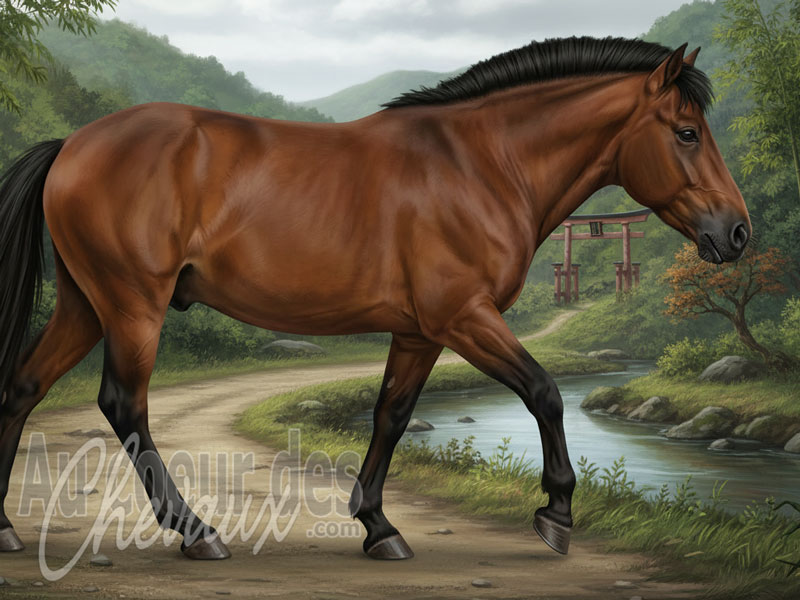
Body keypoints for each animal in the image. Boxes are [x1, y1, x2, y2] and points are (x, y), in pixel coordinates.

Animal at [0, 36, 750, 561]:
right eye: (687, 132)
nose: (736, 232)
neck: (480, 163)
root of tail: (74, 144)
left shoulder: (420, 331)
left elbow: (390, 416)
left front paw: (378, 525)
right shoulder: (464, 317)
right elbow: (545, 391)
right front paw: (556, 515)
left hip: (85, 304)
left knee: (24, 386)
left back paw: (7, 529)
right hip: (133, 307)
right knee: (125, 406)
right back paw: (196, 532)